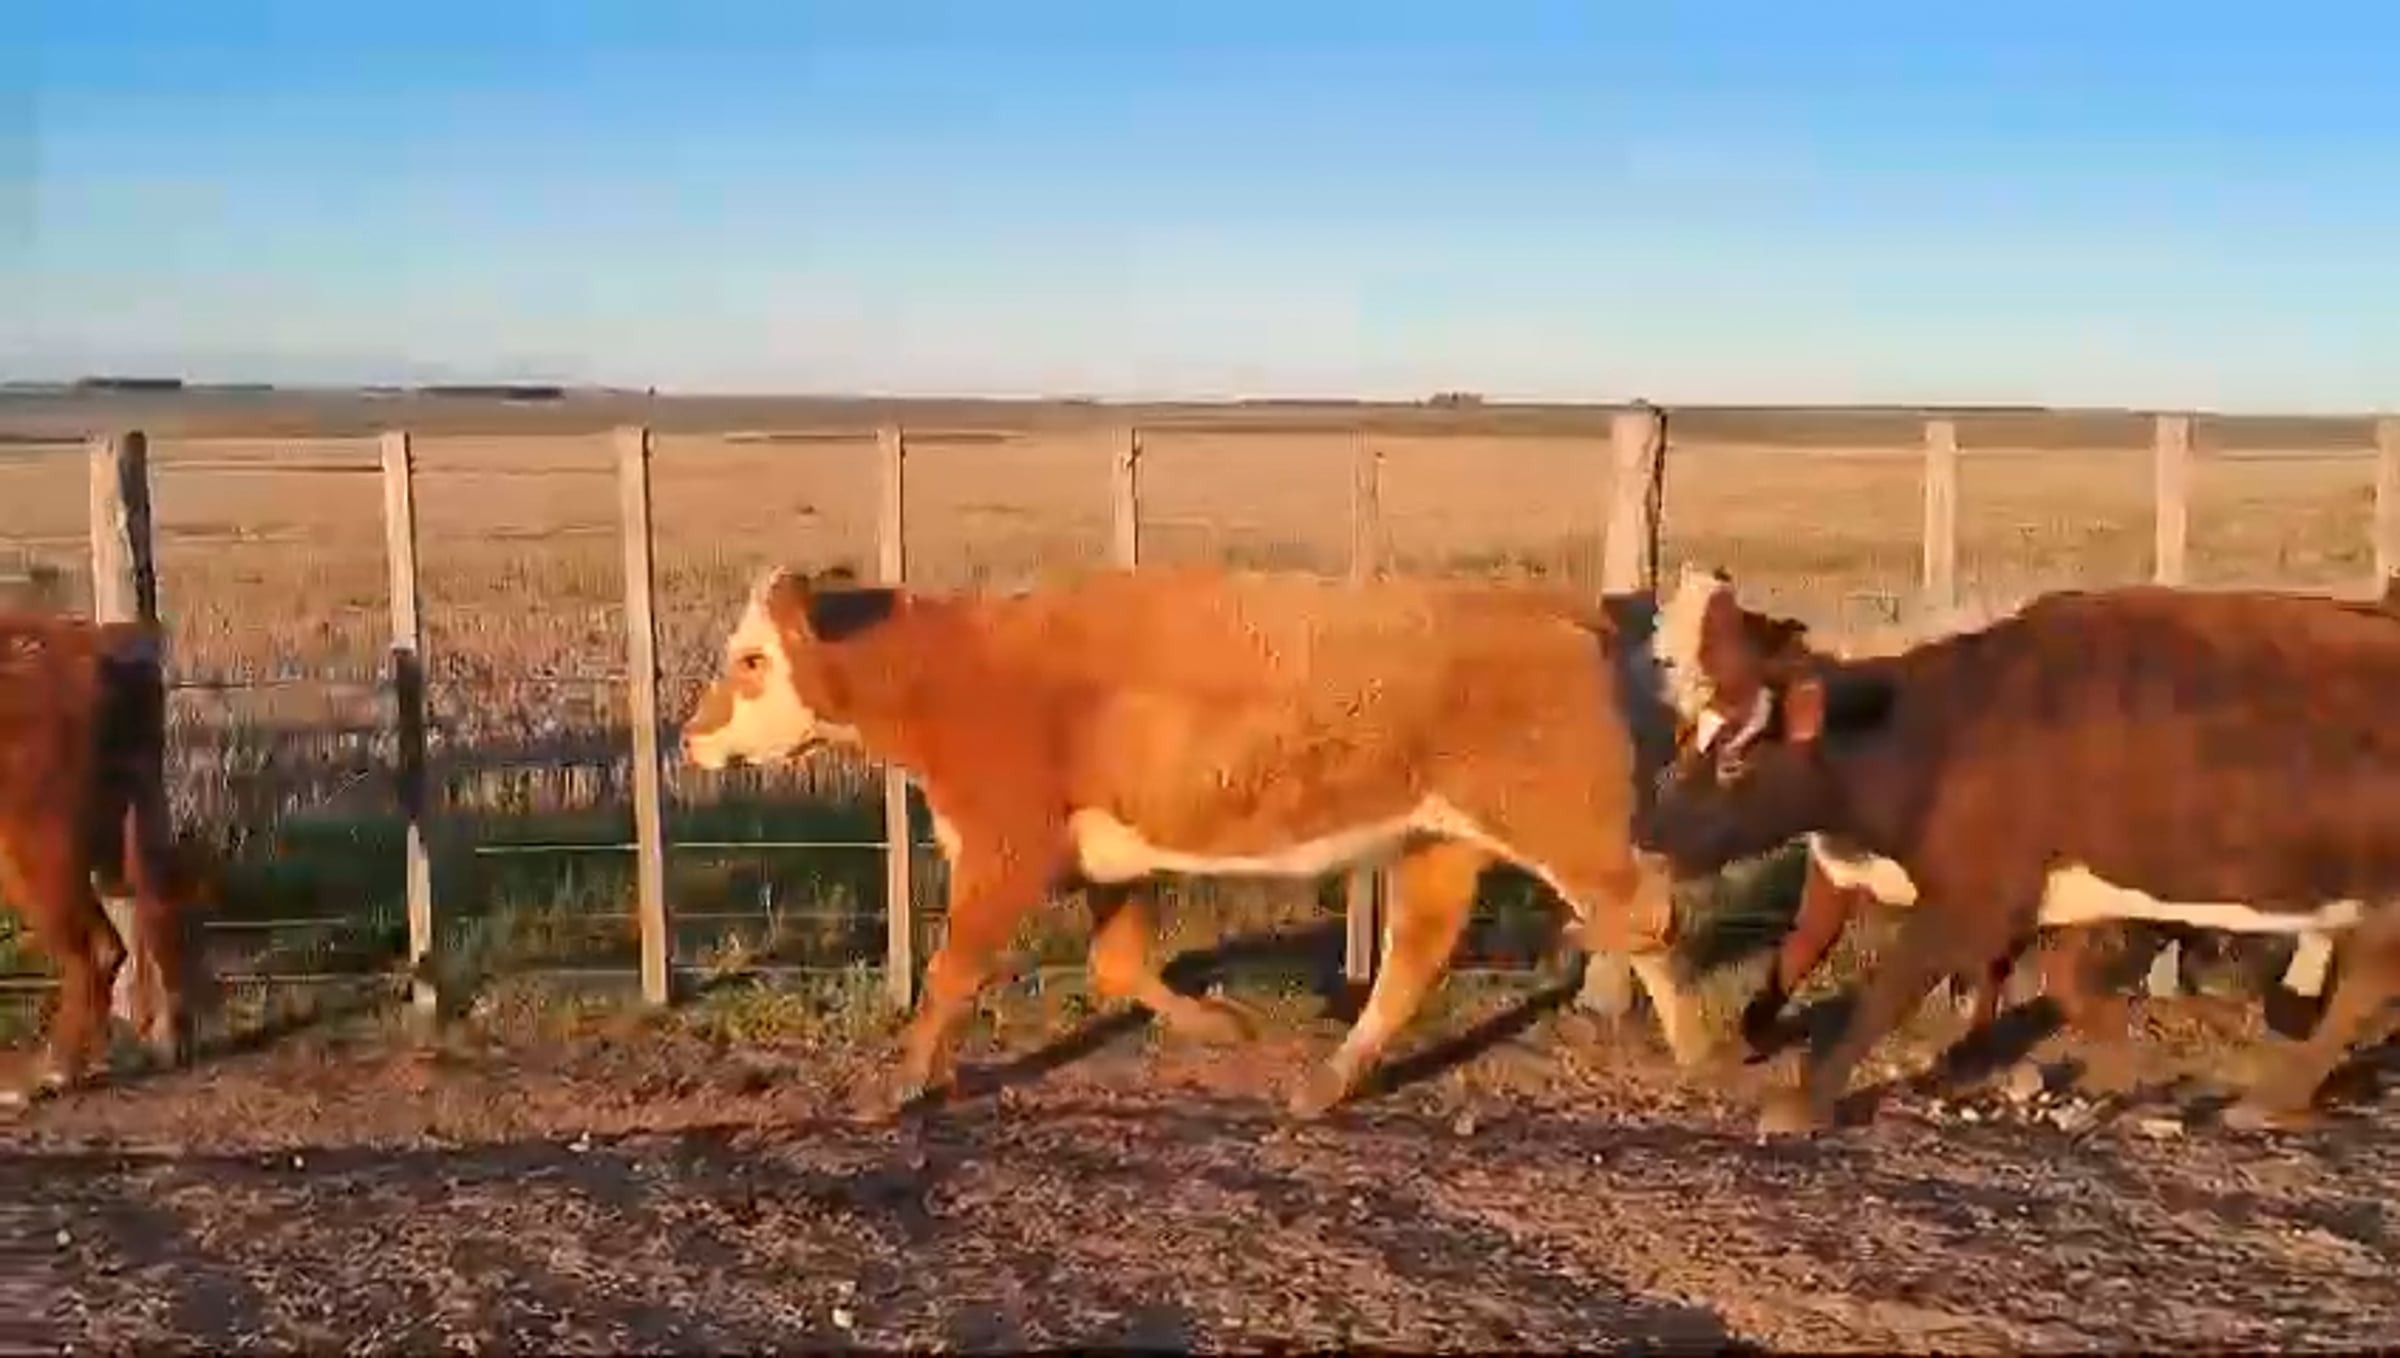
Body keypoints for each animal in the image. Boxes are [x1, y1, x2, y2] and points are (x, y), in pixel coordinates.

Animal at [678, 564, 1707, 1122]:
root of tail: (1569, 616)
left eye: (752, 658)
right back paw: (1330, 1082)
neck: (961, 668)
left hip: (1564, 826)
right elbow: (1117, 964)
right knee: (1420, 953)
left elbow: (950, 974)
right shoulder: (1108, 858)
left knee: (1649, 911)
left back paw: (1704, 1050)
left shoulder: (1006, 851)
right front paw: (1224, 1024)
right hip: (1437, 839)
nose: (689, 736)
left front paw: (892, 1087)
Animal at [1636, 581, 2400, 1135]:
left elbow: (1888, 989)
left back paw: (2276, 1095)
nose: (1647, 833)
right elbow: (2060, 980)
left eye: (1736, 760)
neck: (1940, 730)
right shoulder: (2053, 887)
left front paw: (1803, 1102)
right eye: (1687, 736)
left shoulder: (1975, 897)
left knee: (2365, 984)